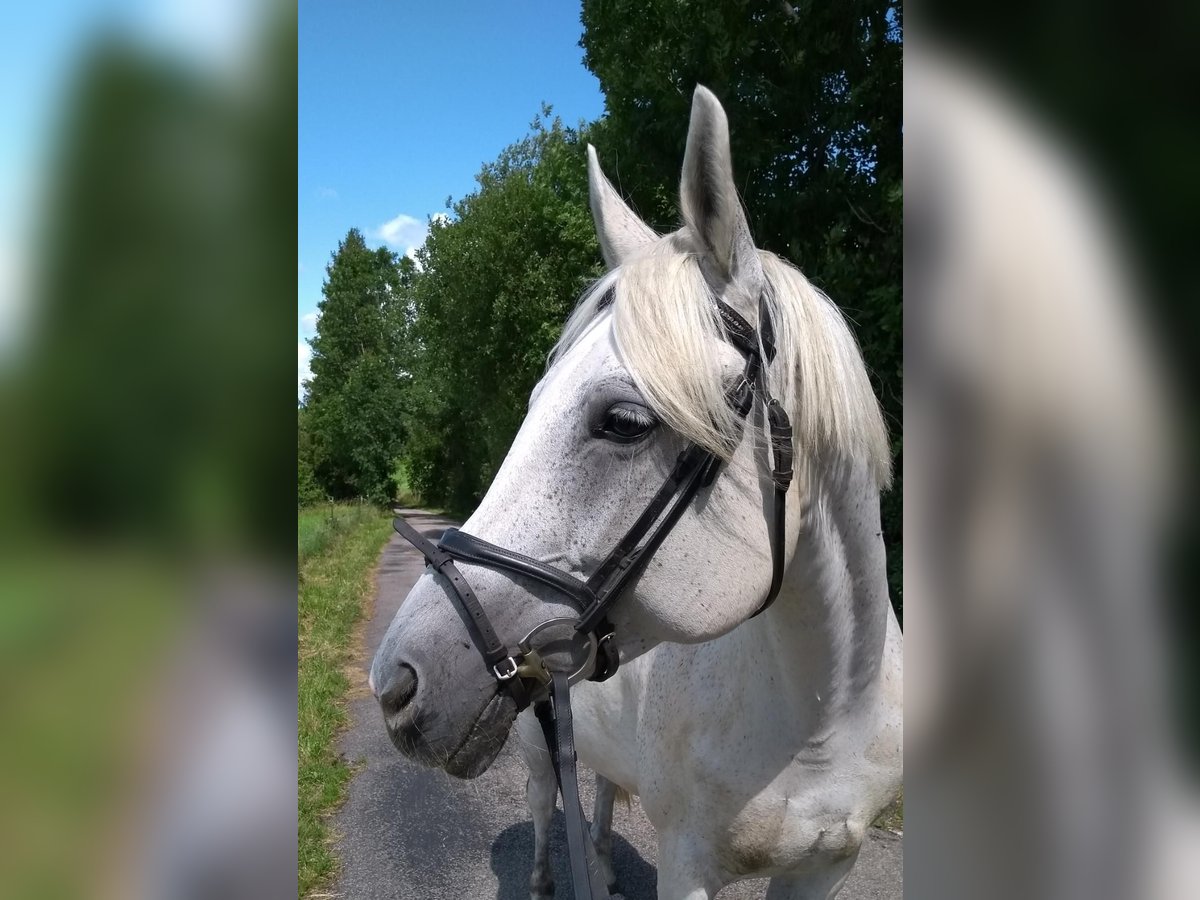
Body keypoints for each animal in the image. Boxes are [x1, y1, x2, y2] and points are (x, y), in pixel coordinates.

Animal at [372, 86, 902, 900]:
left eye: (624, 421)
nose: (395, 683)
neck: (824, 716)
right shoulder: (687, 866)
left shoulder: (825, 869)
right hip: (533, 744)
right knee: (544, 803)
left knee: (598, 791)